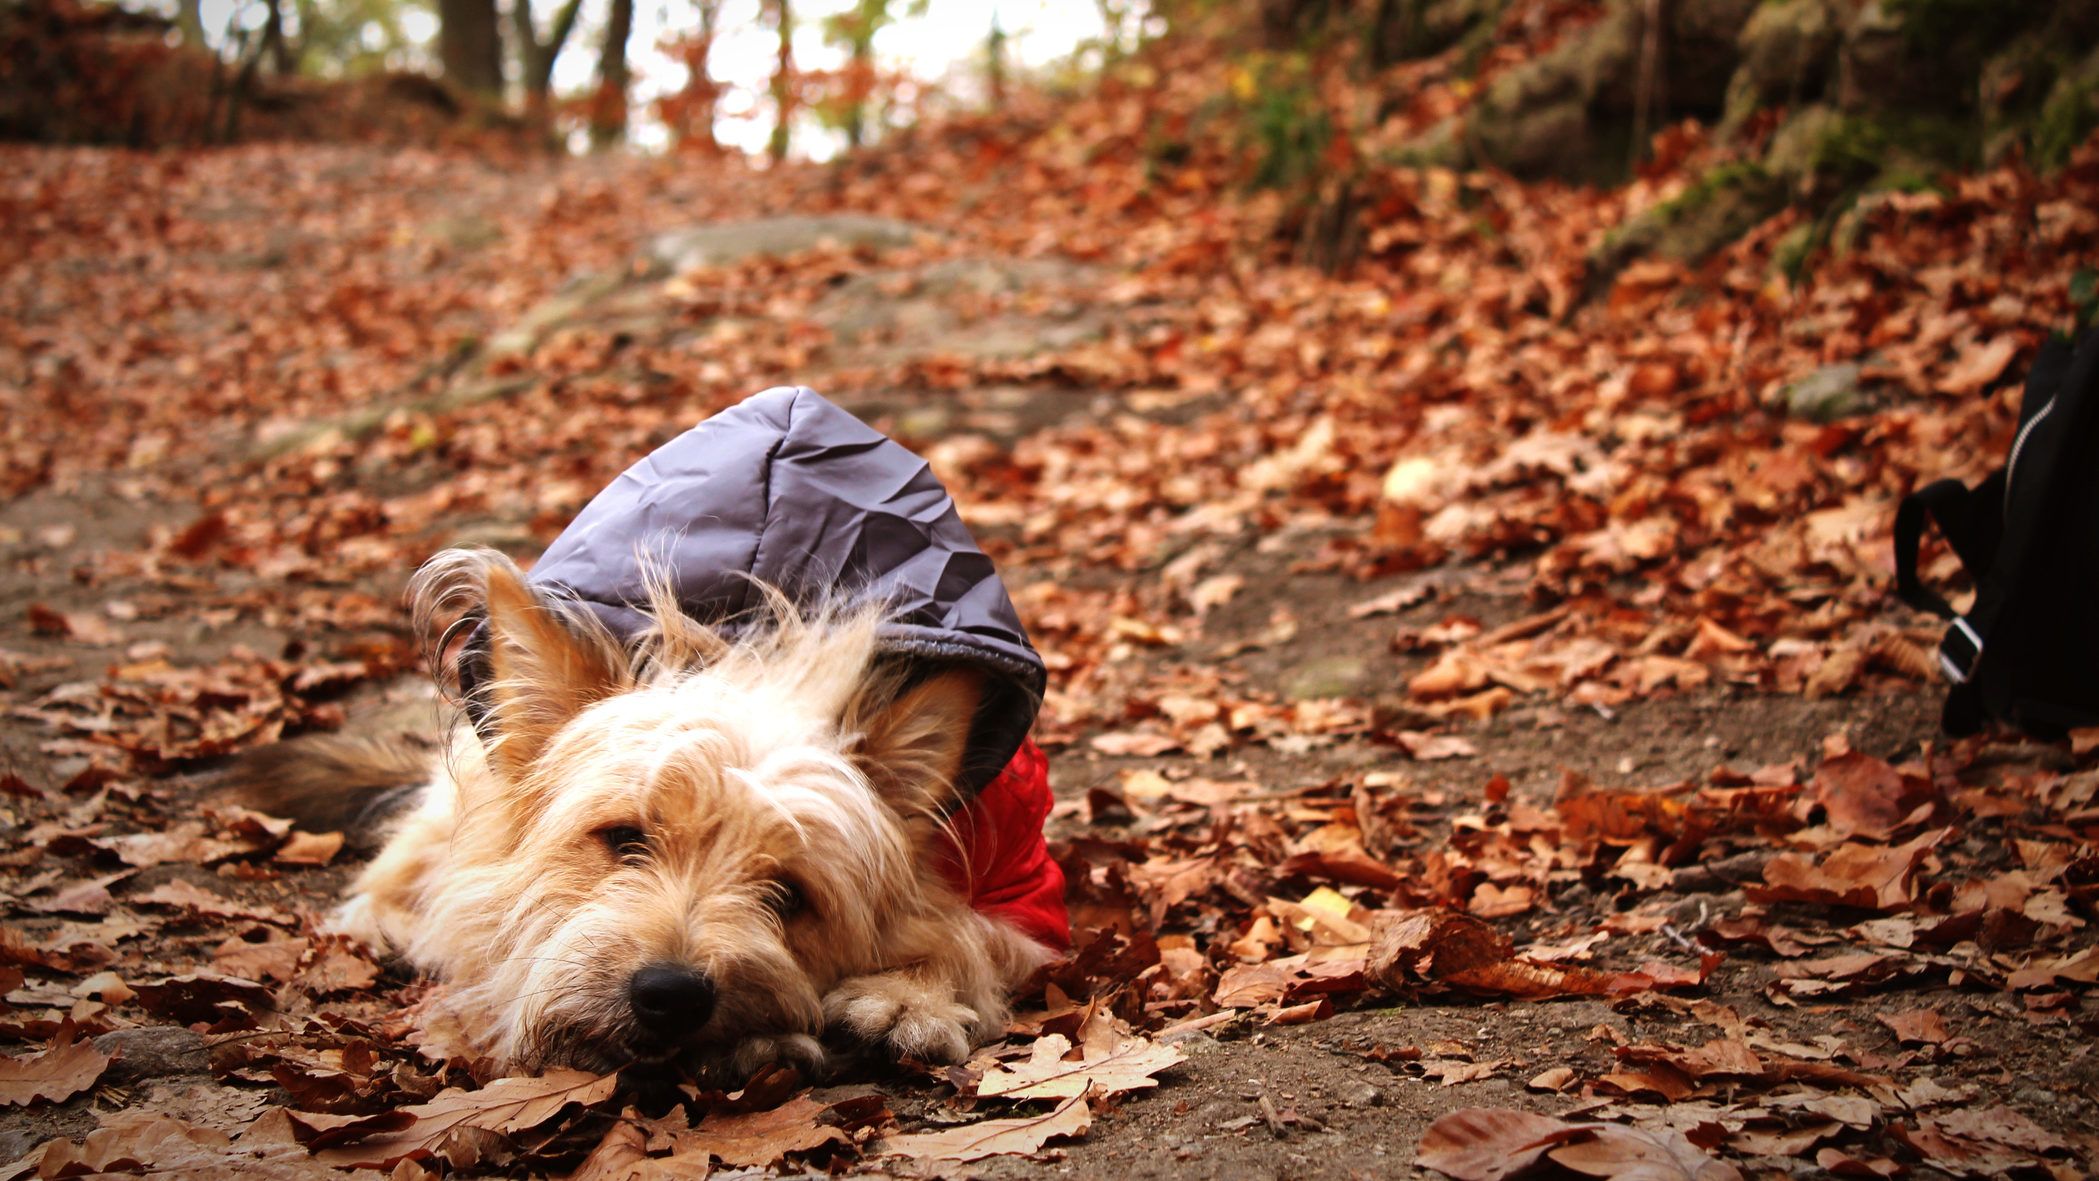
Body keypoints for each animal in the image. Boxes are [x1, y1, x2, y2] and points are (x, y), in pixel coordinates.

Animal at [234, 390, 1066, 1082]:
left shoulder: (1014, 874)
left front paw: (903, 997)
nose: (672, 993)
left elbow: (971, 937)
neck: (763, 649)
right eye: (623, 837)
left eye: (788, 893)